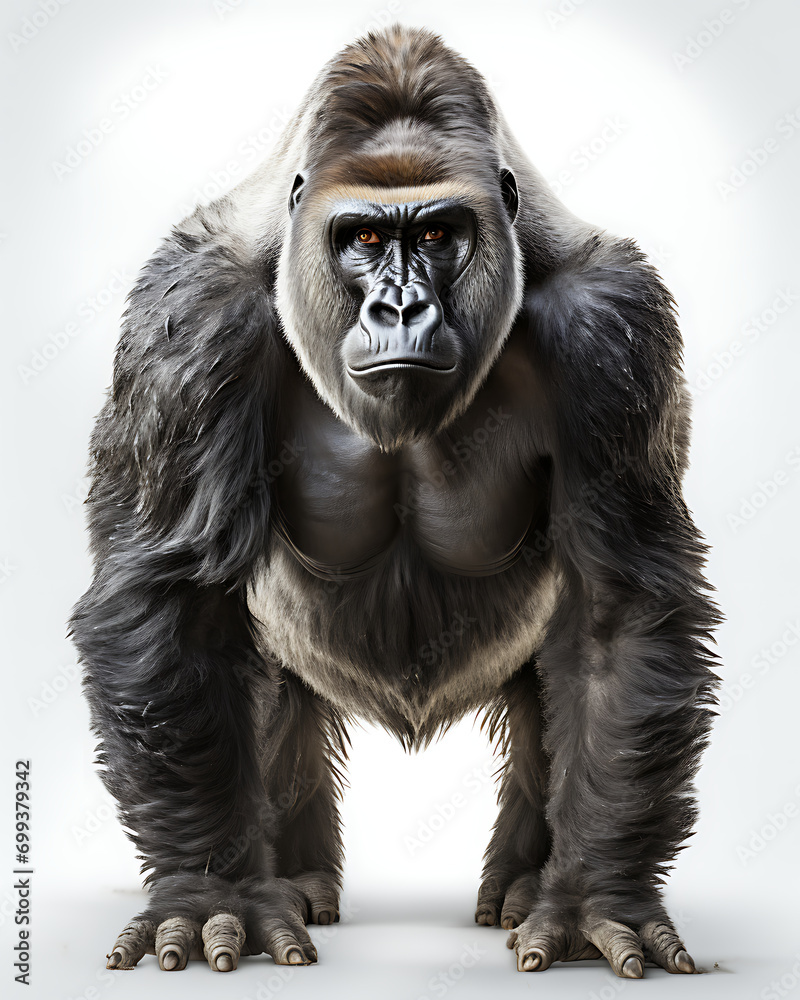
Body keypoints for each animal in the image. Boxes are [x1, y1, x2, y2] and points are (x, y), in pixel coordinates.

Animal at [70, 24, 719, 977]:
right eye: (366, 235)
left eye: (441, 232)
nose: (401, 307)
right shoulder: (188, 320)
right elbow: (175, 597)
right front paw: (208, 893)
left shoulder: (612, 327)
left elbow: (620, 610)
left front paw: (596, 898)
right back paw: (293, 876)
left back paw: (525, 883)